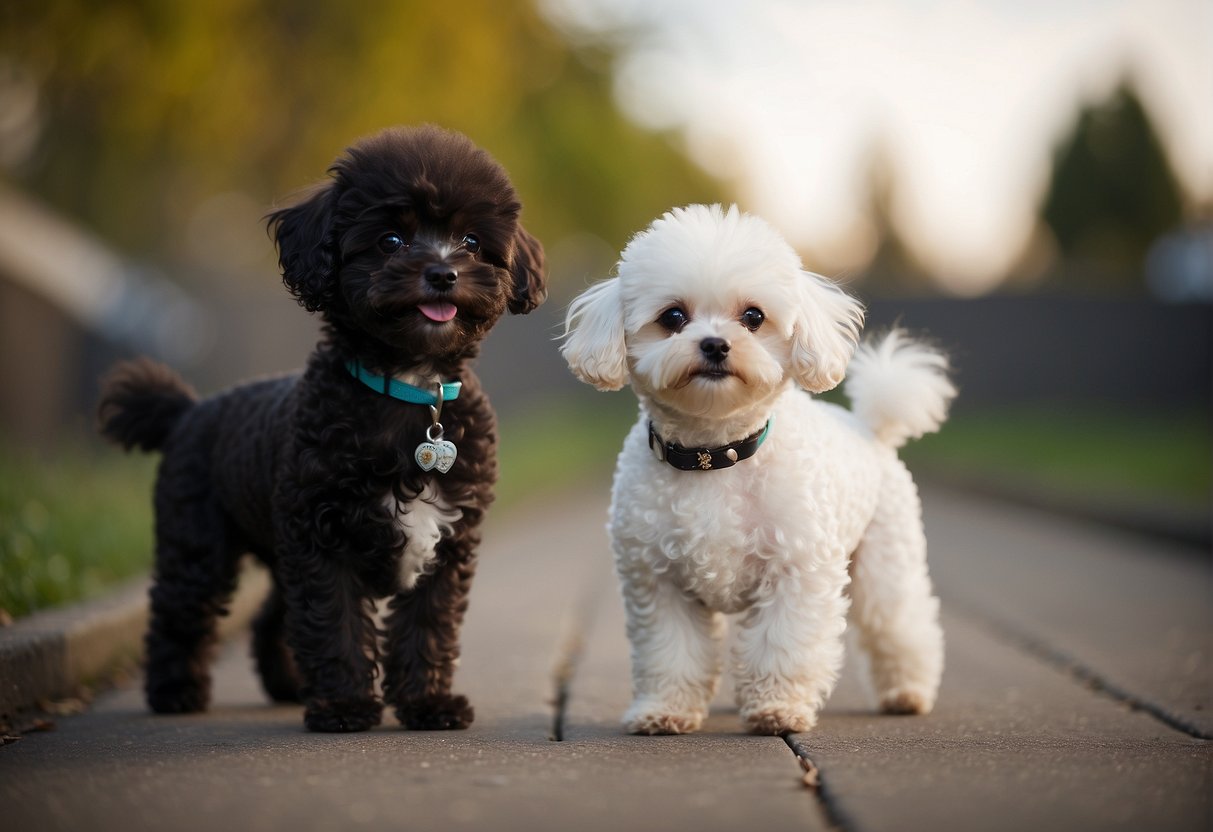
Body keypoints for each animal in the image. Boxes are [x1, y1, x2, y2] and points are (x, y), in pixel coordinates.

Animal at [99, 127, 545, 732]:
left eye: (472, 242)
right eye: (391, 240)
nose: (443, 272)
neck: (408, 388)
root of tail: (189, 411)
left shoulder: (448, 542)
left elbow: (427, 625)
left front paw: (427, 703)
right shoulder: (321, 538)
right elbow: (335, 623)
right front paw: (345, 706)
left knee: (270, 616)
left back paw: (286, 684)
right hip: (198, 542)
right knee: (178, 611)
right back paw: (175, 691)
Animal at [560, 203, 955, 737]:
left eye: (753, 317)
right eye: (673, 317)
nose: (714, 345)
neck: (714, 454)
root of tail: (872, 427)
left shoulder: (797, 572)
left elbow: (782, 646)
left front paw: (777, 708)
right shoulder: (659, 584)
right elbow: (671, 654)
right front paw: (665, 709)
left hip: (885, 563)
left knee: (901, 624)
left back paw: (907, 693)